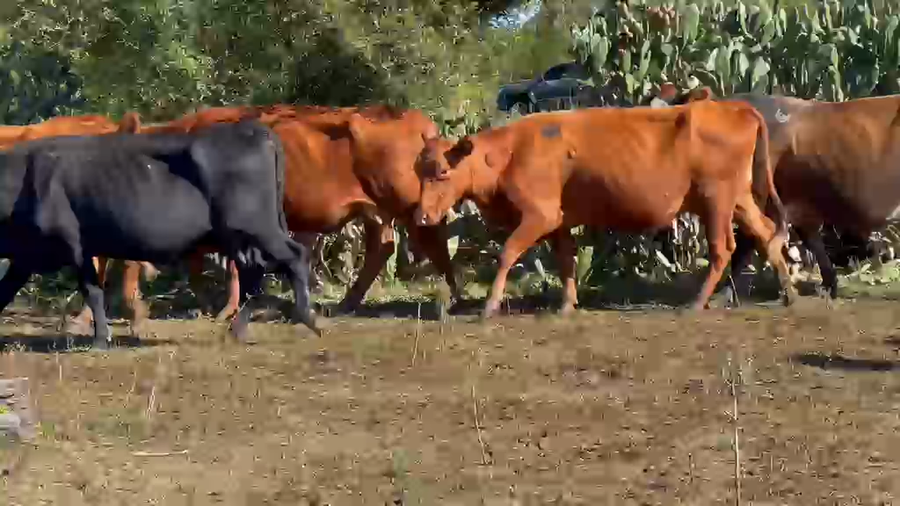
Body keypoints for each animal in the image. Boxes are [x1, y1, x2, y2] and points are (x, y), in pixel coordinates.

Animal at [0, 119, 323, 349]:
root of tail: (253, 129)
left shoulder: (75, 245)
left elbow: (92, 291)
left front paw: (101, 340)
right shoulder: (26, 256)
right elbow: (5, 290)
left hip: (257, 225)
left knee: (294, 255)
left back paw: (308, 317)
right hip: (239, 235)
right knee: (253, 272)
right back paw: (237, 331)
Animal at [83, 104, 460, 329]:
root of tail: (413, 118)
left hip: (409, 204)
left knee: (434, 239)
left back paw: (452, 299)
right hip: (375, 211)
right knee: (382, 248)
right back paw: (346, 303)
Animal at [411, 100, 798, 317]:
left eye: (443, 172)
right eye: (419, 171)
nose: (421, 216)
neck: (510, 153)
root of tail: (734, 106)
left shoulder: (539, 216)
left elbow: (507, 253)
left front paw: (490, 306)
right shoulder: (559, 222)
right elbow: (566, 262)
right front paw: (567, 304)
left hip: (715, 201)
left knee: (722, 249)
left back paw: (697, 302)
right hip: (738, 199)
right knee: (765, 232)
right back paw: (788, 293)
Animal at [662, 87, 900, 302]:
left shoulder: (759, 200)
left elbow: (744, 248)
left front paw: (724, 295)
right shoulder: (800, 209)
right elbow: (812, 245)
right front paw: (827, 288)